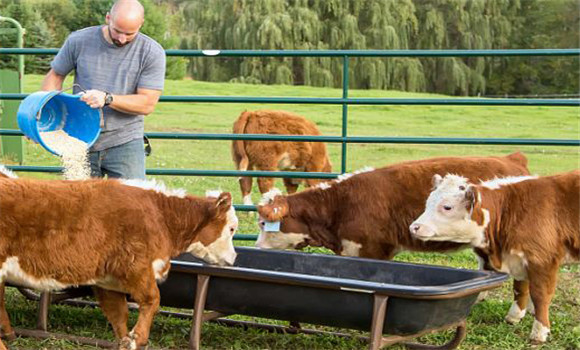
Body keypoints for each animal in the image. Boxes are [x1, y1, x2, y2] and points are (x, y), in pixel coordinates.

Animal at [0, 179, 238, 348]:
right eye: (232, 228)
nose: (234, 258)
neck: (159, 216)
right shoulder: (137, 267)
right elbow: (153, 300)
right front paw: (137, 338)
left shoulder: (107, 280)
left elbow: (119, 316)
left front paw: (126, 340)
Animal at [410, 171, 576, 344]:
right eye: (428, 202)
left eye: (447, 207)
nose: (414, 227)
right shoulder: (518, 258)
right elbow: (520, 289)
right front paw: (514, 316)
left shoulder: (542, 260)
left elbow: (540, 296)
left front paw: (539, 332)